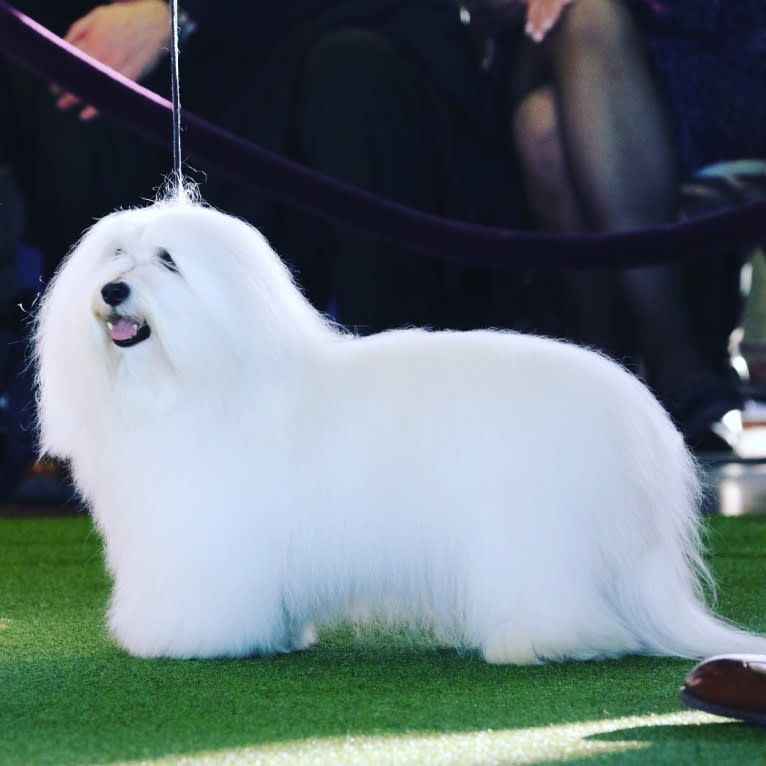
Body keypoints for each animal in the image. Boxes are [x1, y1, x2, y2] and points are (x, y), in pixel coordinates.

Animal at [34, 201, 766, 664]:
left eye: (168, 260)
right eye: (115, 254)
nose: (113, 290)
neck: (203, 376)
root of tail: (636, 414)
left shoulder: (206, 538)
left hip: (534, 534)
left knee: (557, 600)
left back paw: (534, 643)